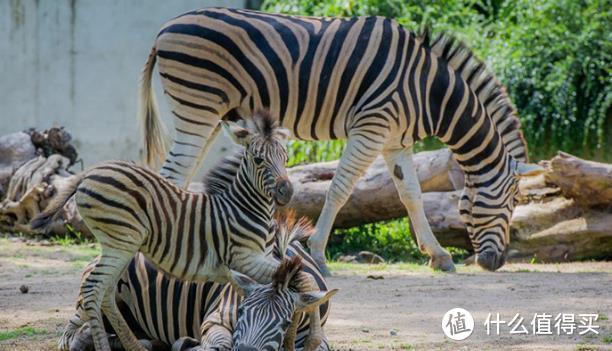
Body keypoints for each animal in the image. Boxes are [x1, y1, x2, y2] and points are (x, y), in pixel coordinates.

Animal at [139, 6, 540, 276]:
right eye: (512, 202)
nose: (495, 263)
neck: (429, 92)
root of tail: (164, 29)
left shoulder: (395, 141)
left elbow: (411, 195)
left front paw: (438, 255)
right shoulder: (371, 127)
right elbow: (340, 188)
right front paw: (316, 254)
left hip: (210, 116)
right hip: (198, 107)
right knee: (172, 174)